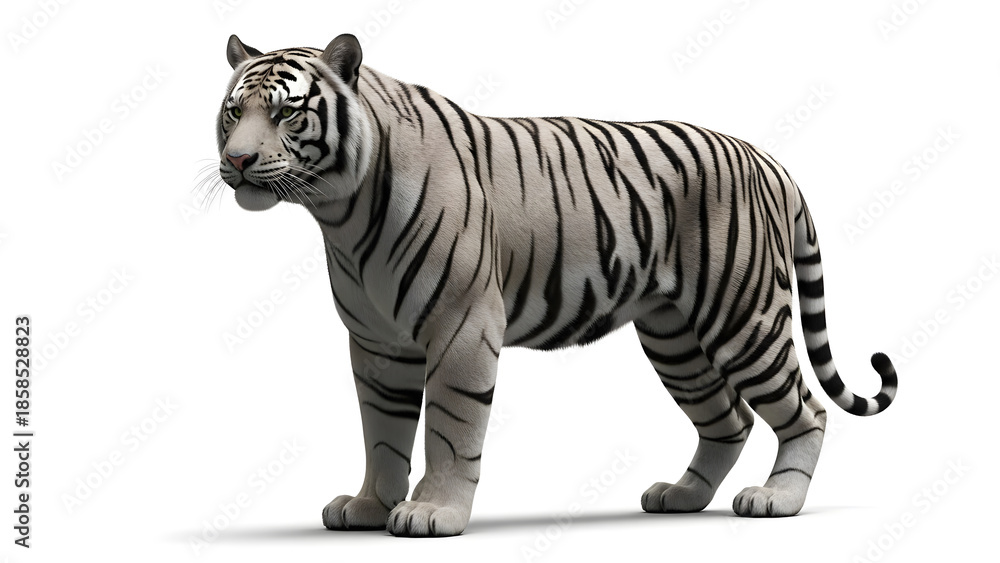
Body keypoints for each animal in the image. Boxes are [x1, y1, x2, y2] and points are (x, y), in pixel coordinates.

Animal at [214, 33, 898, 537]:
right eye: (233, 113)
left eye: (286, 111)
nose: (237, 160)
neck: (340, 212)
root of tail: (768, 160)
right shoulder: (378, 343)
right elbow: (381, 432)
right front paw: (368, 508)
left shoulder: (461, 326)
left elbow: (449, 428)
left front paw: (433, 512)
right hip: (674, 339)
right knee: (728, 418)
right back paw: (680, 495)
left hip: (742, 316)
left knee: (805, 409)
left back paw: (777, 499)